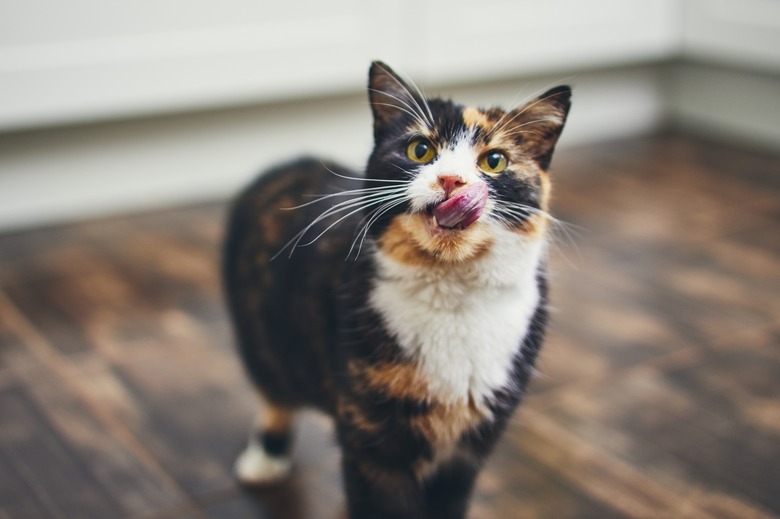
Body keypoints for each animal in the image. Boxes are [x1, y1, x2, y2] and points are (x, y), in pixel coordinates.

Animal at [222, 62, 568, 519]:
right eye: (419, 150)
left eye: (495, 161)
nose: (452, 179)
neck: (452, 293)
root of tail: (291, 164)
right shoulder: (372, 442)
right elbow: (379, 502)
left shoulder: (469, 446)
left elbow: (448, 502)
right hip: (261, 333)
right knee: (274, 390)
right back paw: (265, 458)